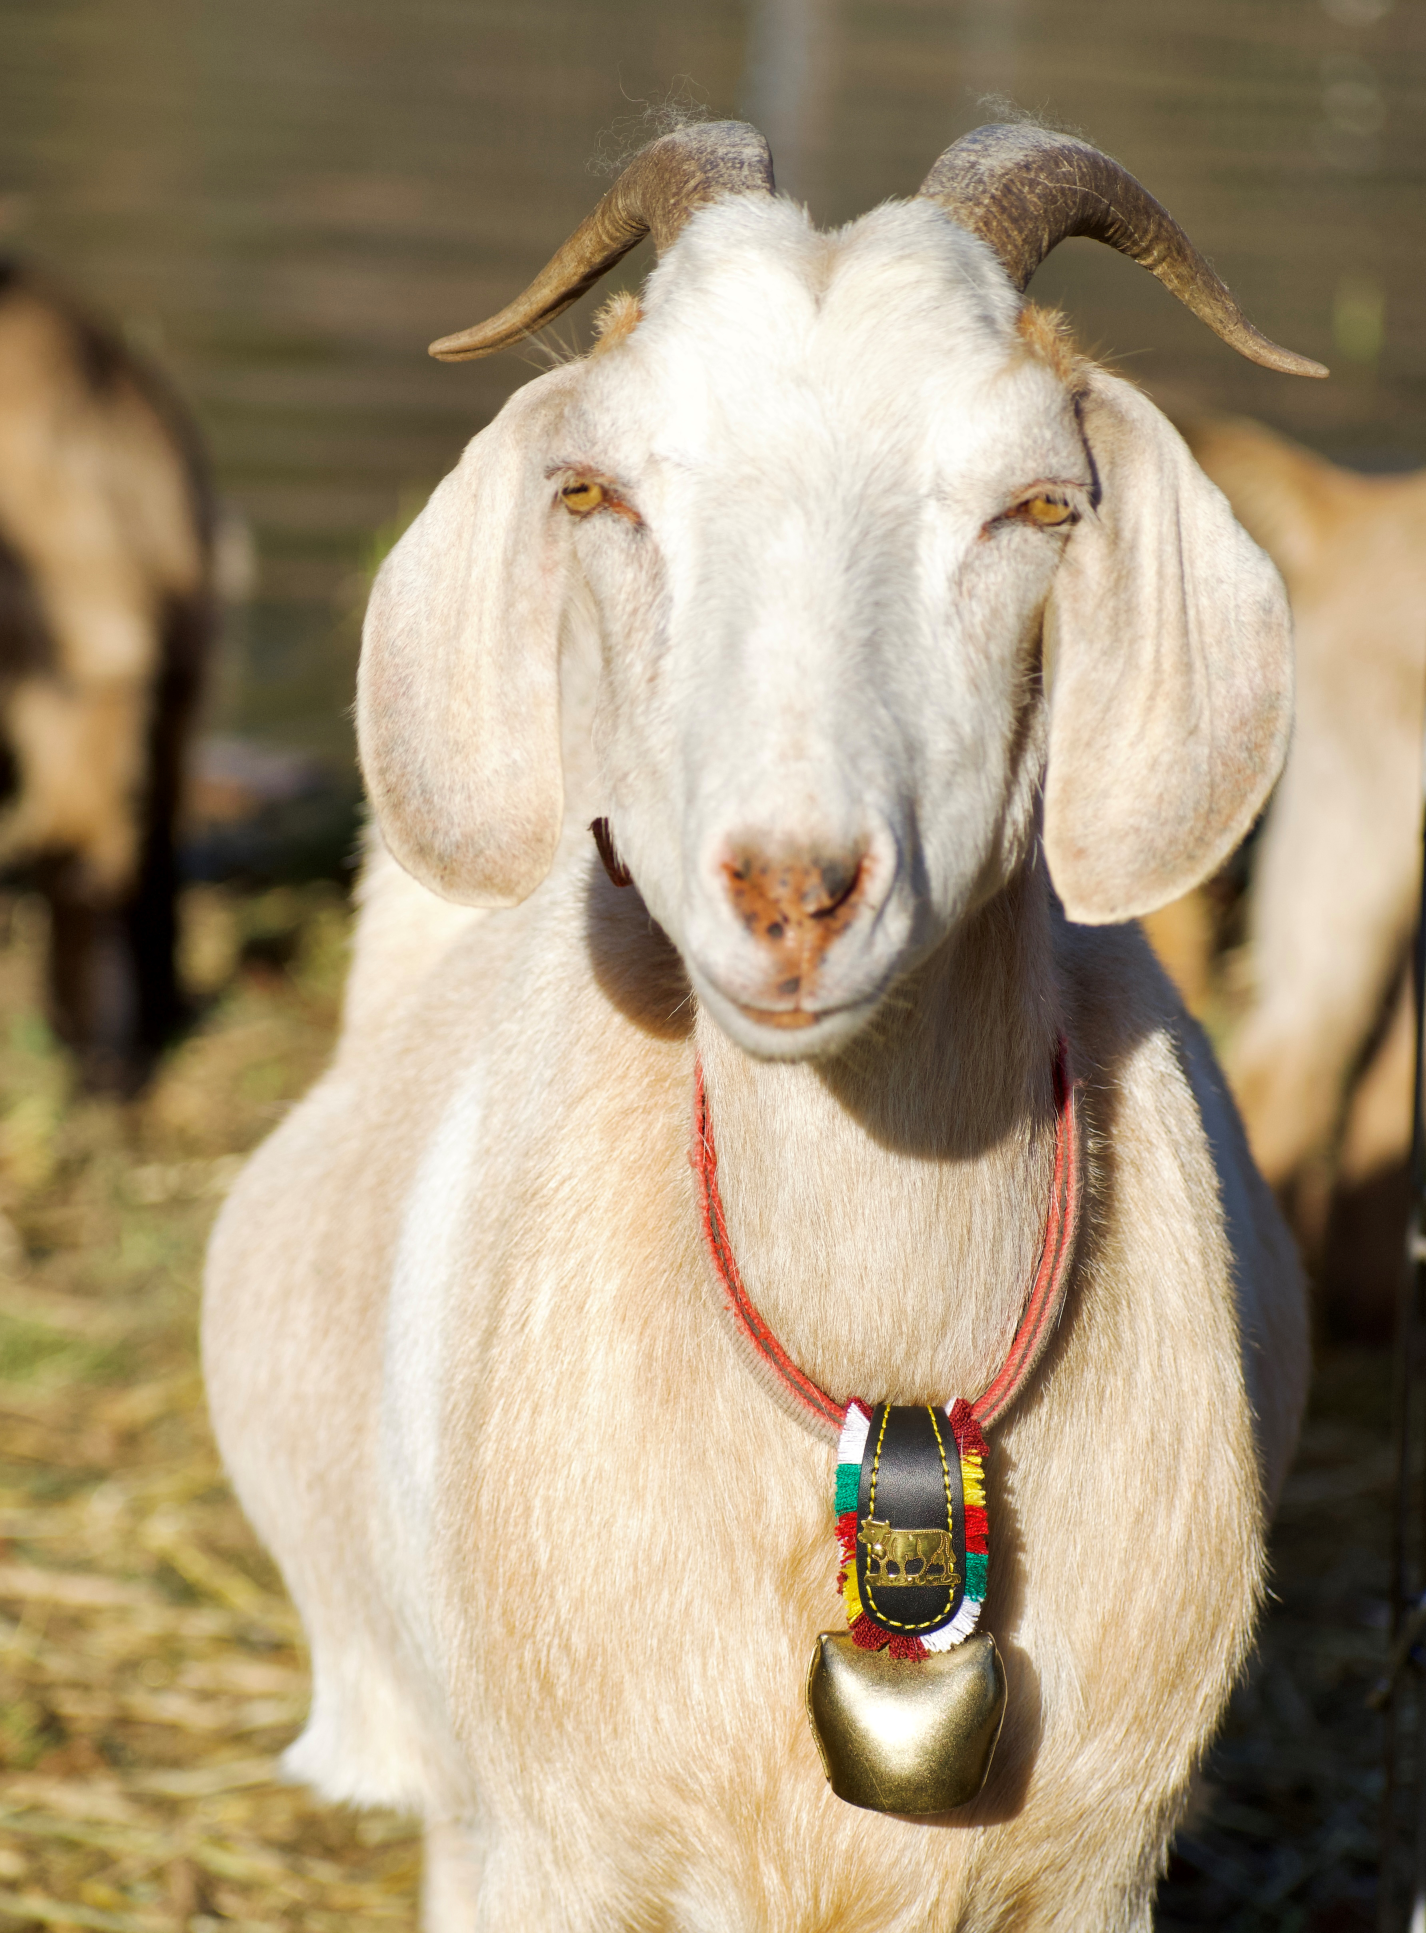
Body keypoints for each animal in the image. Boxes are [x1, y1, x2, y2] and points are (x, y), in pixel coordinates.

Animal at [202, 124, 1313, 1933]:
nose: (794, 890)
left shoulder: (1091, 1868)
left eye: (1039, 504)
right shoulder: (543, 1853)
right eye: (594, 490)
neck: (879, 1350)